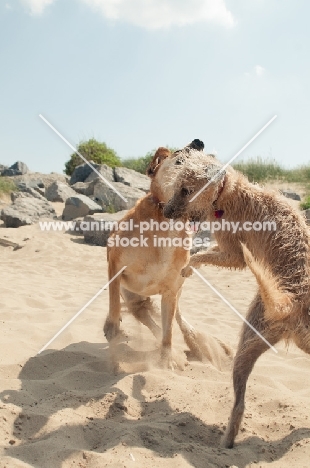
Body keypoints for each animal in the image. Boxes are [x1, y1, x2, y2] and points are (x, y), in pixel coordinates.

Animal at [104, 141, 230, 368]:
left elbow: (169, 331)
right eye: (179, 157)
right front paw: (112, 325)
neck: (166, 222)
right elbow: (113, 298)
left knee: (174, 320)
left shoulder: (172, 290)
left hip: (175, 293)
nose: (198, 141)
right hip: (133, 297)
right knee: (142, 313)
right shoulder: (115, 263)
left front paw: (166, 360)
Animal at [163, 148, 310, 448]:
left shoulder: (233, 253)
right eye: (178, 187)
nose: (165, 212)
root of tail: (290, 303)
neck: (226, 193)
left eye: (186, 190)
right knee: (241, 403)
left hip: (247, 340)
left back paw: (225, 444)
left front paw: (188, 267)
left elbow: (202, 254)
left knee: (239, 405)